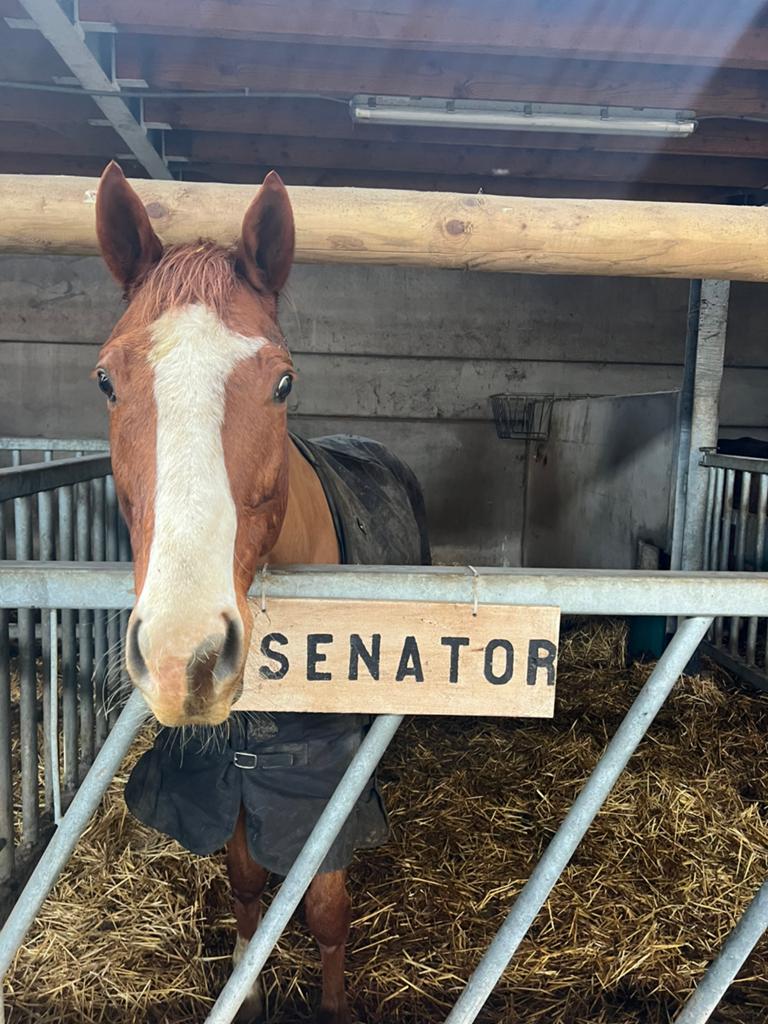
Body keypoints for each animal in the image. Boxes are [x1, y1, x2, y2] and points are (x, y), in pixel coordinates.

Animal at [93, 162, 429, 1023]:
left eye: (282, 381)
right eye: (106, 379)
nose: (185, 658)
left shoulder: (327, 788)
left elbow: (326, 907)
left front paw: (335, 1006)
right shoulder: (232, 774)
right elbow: (248, 886)